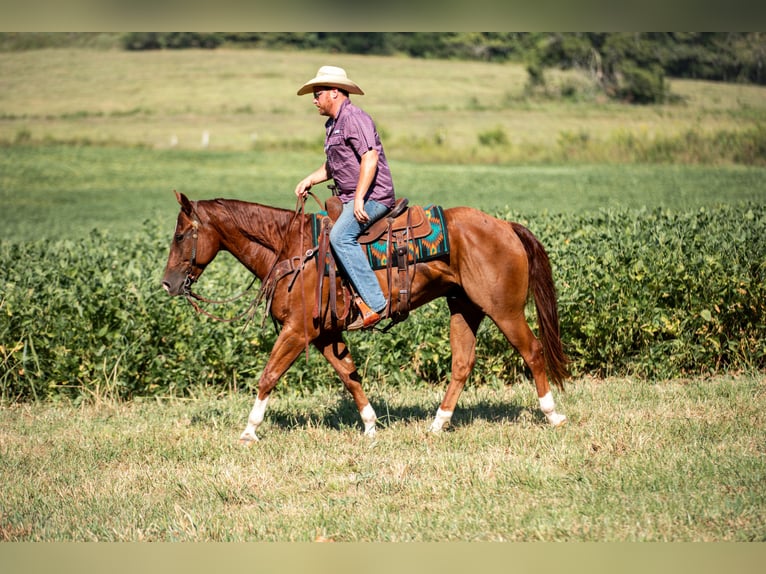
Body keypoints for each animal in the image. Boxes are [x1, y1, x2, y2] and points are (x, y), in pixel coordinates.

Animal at [161, 191, 569, 444]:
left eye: (181, 235)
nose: (168, 283)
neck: (290, 250)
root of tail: (506, 226)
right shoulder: (325, 335)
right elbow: (350, 377)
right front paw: (371, 425)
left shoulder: (296, 332)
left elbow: (268, 377)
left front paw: (249, 430)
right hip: (464, 308)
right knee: (462, 364)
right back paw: (438, 423)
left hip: (505, 310)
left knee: (533, 352)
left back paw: (552, 415)